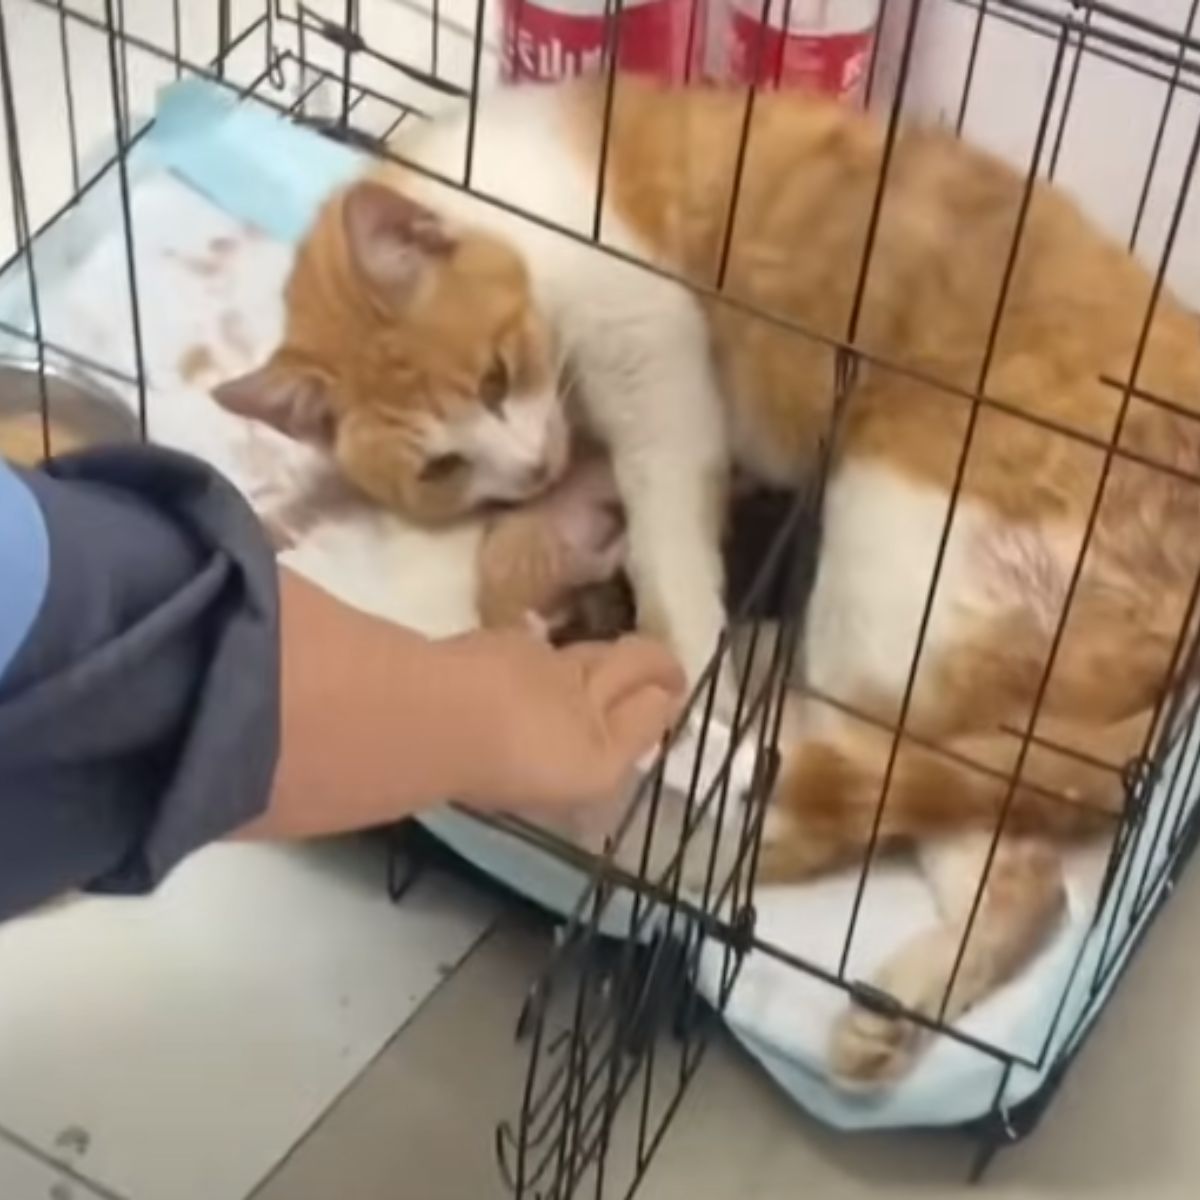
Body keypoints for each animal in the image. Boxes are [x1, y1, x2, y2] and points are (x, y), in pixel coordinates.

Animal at [220, 77, 1200, 1089]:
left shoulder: (653, 368)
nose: (532, 470)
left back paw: (688, 828)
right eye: (441, 467)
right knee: (1004, 867)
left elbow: (672, 572)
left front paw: (686, 674)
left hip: (885, 575)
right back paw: (890, 1007)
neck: (506, 208)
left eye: (495, 376)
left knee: (836, 802)